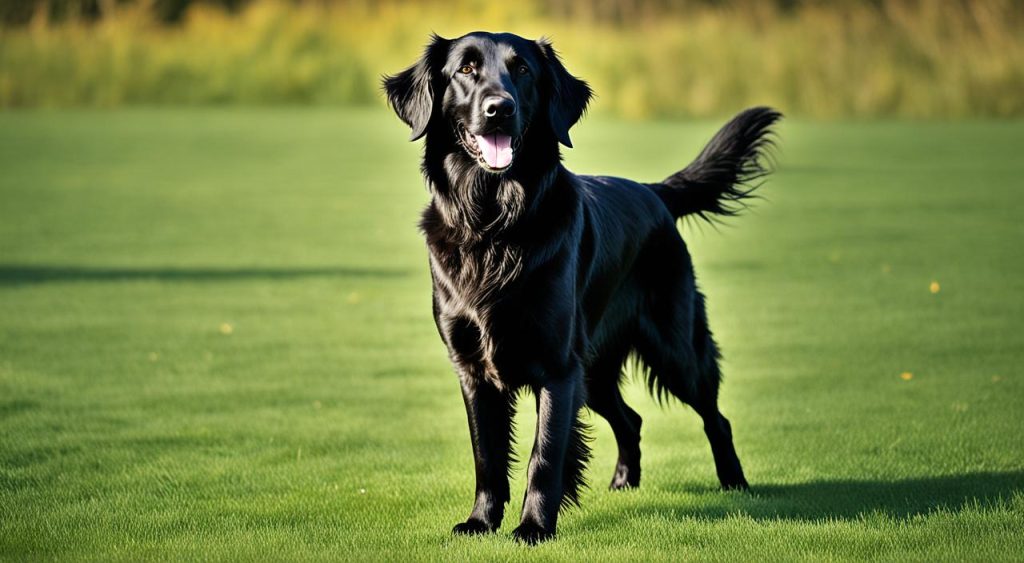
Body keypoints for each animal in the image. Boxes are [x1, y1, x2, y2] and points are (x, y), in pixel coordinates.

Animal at [382, 31, 774, 548]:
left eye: (523, 70)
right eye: (464, 70)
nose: (499, 108)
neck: (493, 223)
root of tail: (654, 192)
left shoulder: (558, 367)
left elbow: (545, 455)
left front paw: (533, 527)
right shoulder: (472, 367)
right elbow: (487, 454)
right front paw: (481, 522)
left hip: (673, 349)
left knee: (715, 416)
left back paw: (735, 483)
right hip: (597, 370)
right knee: (632, 419)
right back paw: (625, 481)